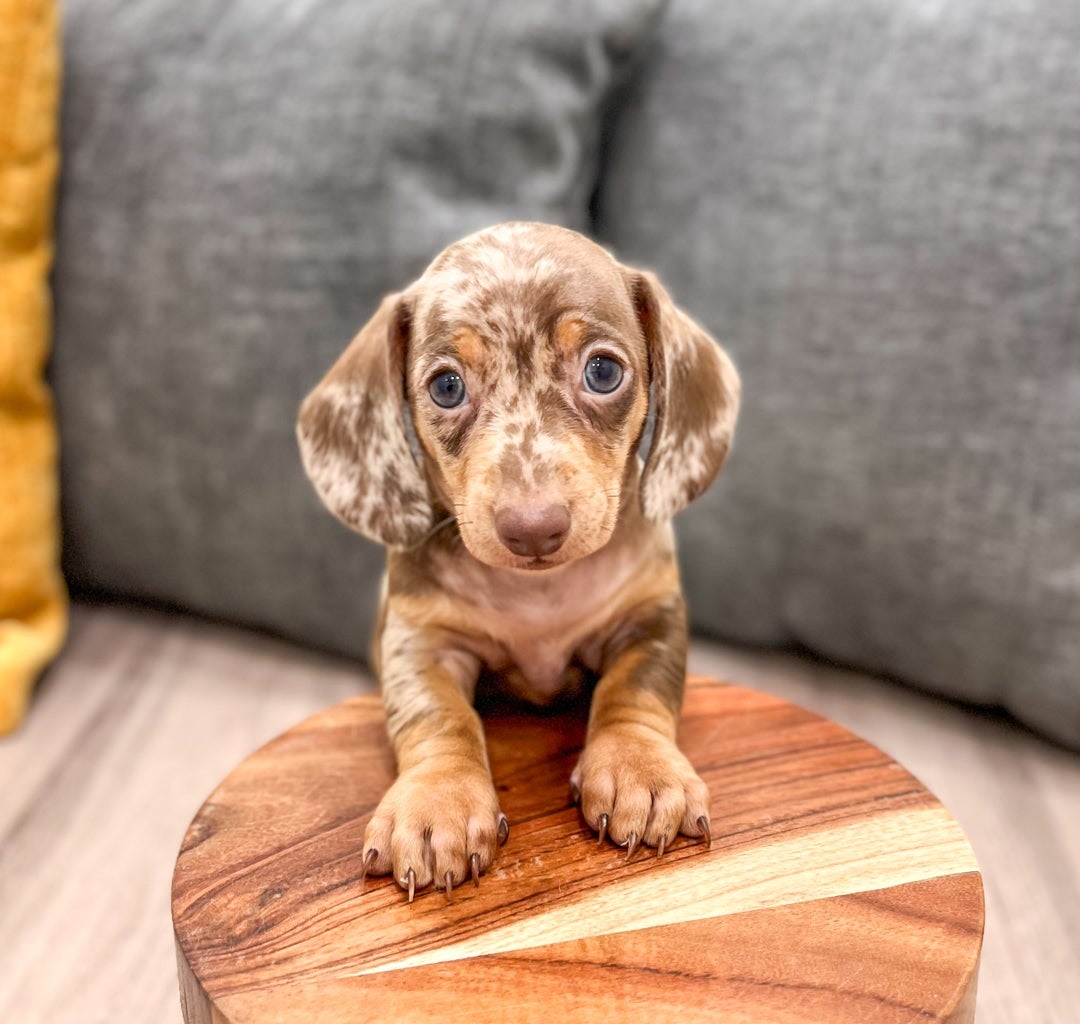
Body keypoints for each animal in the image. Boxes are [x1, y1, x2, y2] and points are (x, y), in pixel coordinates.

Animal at [297, 222, 740, 902]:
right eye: (446, 387)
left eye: (603, 372)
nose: (533, 528)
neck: (539, 594)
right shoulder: (420, 642)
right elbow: (438, 716)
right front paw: (438, 802)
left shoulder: (651, 617)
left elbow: (636, 687)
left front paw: (639, 767)